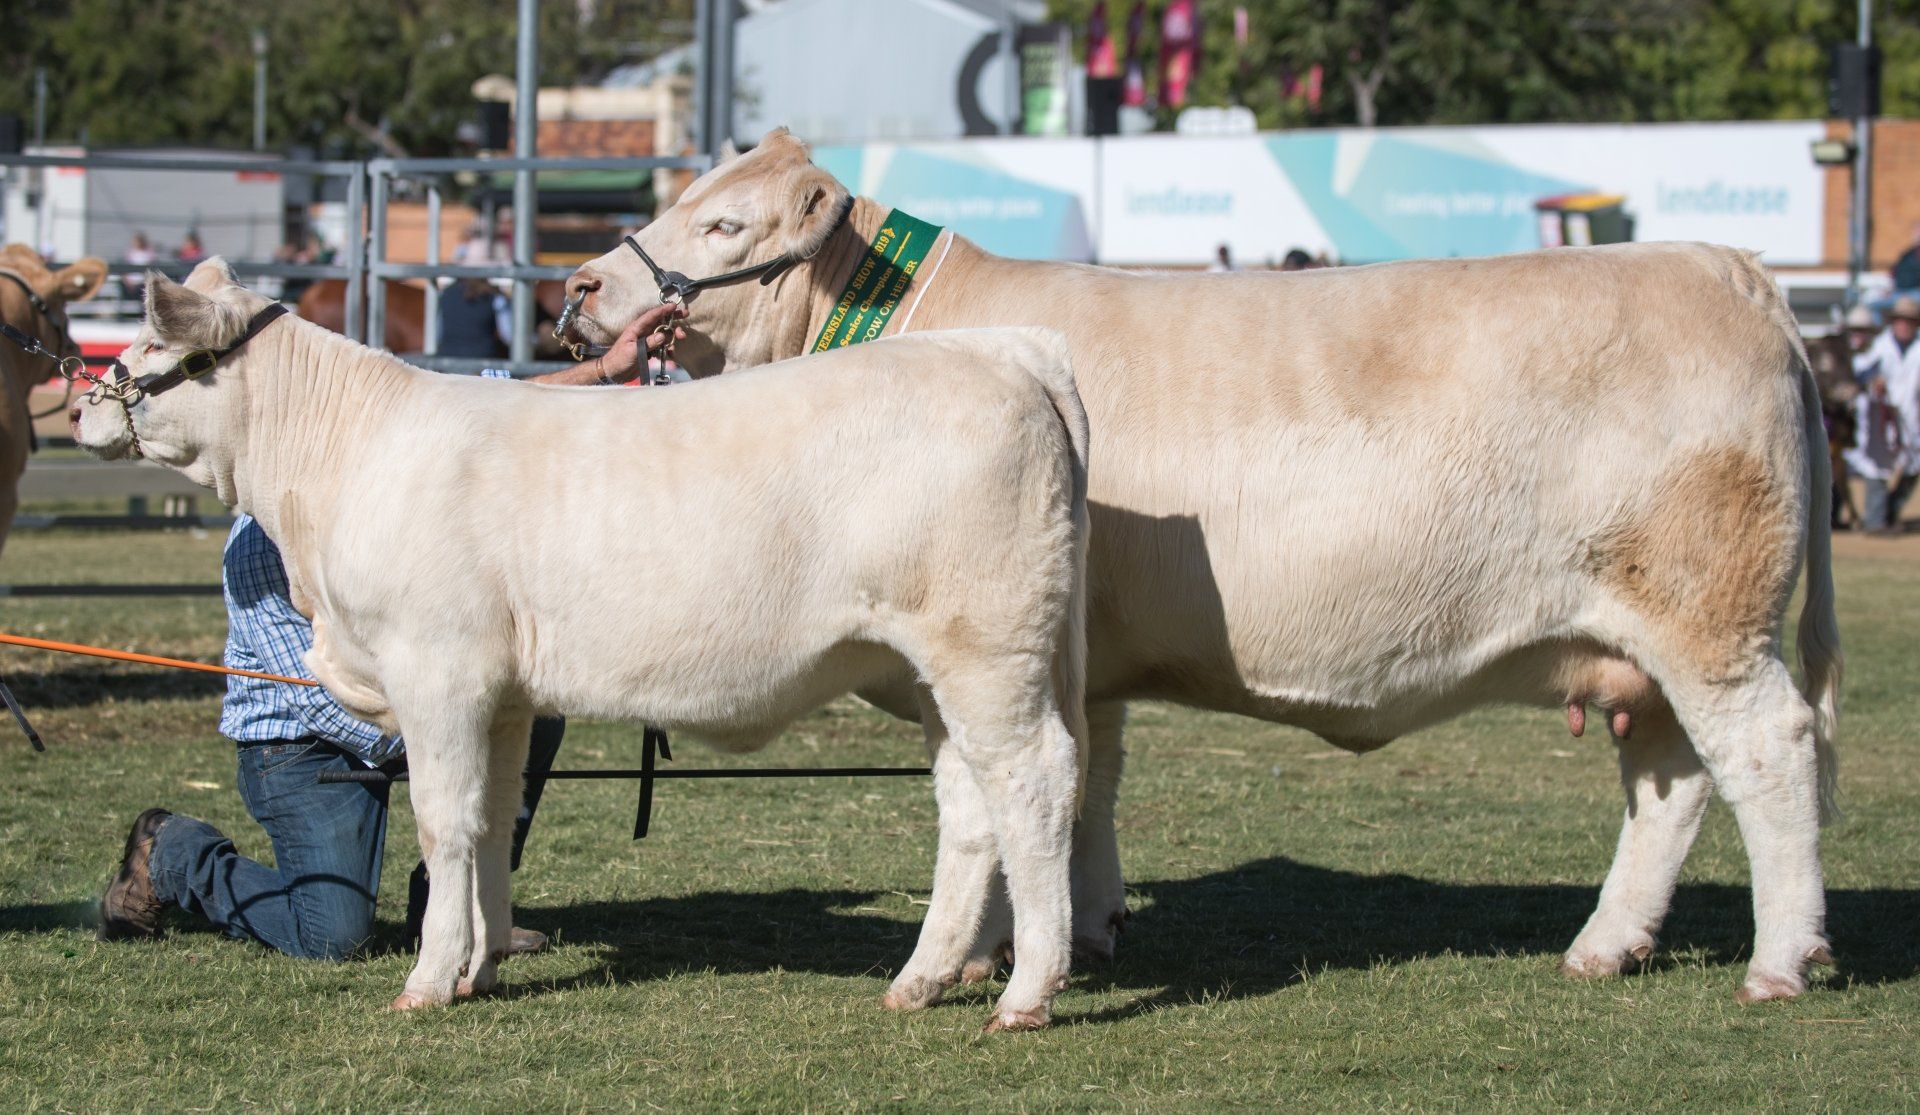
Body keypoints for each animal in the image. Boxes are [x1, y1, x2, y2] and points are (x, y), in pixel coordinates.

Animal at [71, 259, 1092, 1031]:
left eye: (154, 343)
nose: (80, 404)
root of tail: (1007, 348)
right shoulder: (502, 693)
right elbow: (490, 819)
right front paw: (479, 964)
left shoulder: (435, 668)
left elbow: (443, 821)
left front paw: (428, 979)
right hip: (939, 668)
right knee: (967, 804)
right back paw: (919, 980)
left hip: (987, 646)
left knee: (1034, 781)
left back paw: (1026, 992)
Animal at [561, 129, 1843, 1006]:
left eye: (726, 229)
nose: (577, 289)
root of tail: (1733, 270)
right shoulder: (1085, 654)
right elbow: (1091, 780)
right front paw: (1081, 926)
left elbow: (1025, 781)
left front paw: (1000, 952)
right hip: (1648, 638)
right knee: (1672, 779)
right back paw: (1604, 944)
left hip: (1709, 612)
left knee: (1768, 752)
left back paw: (1782, 958)